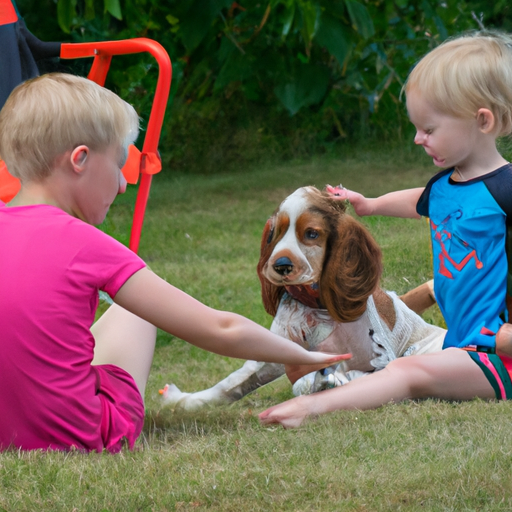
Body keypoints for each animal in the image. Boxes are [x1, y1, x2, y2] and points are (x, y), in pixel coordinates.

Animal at [161, 186, 444, 410]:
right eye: (275, 232)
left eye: (311, 233)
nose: (281, 266)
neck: (315, 306)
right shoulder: (280, 349)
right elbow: (236, 380)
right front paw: (185, 400)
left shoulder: (377, 357)